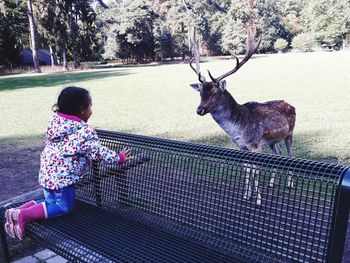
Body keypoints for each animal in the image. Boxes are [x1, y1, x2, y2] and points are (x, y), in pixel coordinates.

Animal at [189, 26, 296, 206]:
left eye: (215, 92)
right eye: (201, 92)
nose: (199, 110)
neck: (237, 129)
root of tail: (291, 104)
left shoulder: (255, 144)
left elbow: (255, 171)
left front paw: (258, 199)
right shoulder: (241, 146)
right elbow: (247, 169)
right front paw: (246, 195)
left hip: (290, 133)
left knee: (290, 155)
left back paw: (289, 184)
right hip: (273, 140)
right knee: (279, 154)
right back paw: (272, 183)